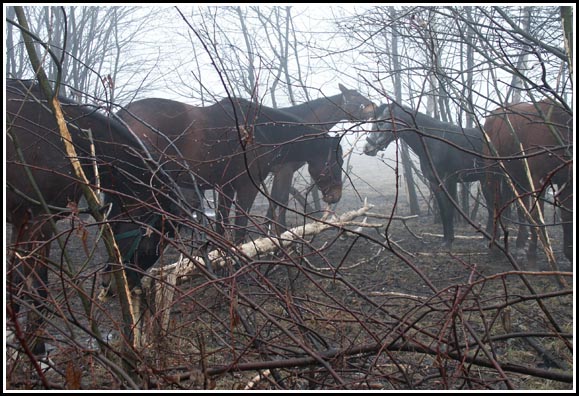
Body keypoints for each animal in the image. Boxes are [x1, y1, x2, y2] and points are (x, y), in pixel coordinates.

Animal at [5, 79, 184, 356]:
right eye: (150, 245)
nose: (111, 287)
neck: (62, 138)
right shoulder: (39, 223)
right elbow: (37, 290)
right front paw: (36, 349)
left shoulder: (20, 223)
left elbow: (14, 287)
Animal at [117, 96, 344, 244]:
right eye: (335, 163)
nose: (336, 196)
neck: (260, 131)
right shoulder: (247, 187)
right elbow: (240, 229)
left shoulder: (225, 187)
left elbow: (221, 224)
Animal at [266, 83, 378, 232]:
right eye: (354, 96)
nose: (375, 107)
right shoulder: (284, 170)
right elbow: (281, 200)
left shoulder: (280, 172)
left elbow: (273, 201)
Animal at [364, 100, 488, 248]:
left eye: (382, 122)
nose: (367, 148)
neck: (433, 142)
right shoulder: (434, 183)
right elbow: (443, 210)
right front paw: (446, 239)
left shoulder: (448, 180)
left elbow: (449, 209)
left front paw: (449, 241)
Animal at [482, 99, 572, 262]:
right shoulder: (538, 179)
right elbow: (537, 215)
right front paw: (532, 255)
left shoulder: (565, 181)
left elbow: (566, 214)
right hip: (493, 173)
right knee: (495, 203)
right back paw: (495, 247)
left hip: (519, 177)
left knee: (520, 207)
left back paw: (519, 246)